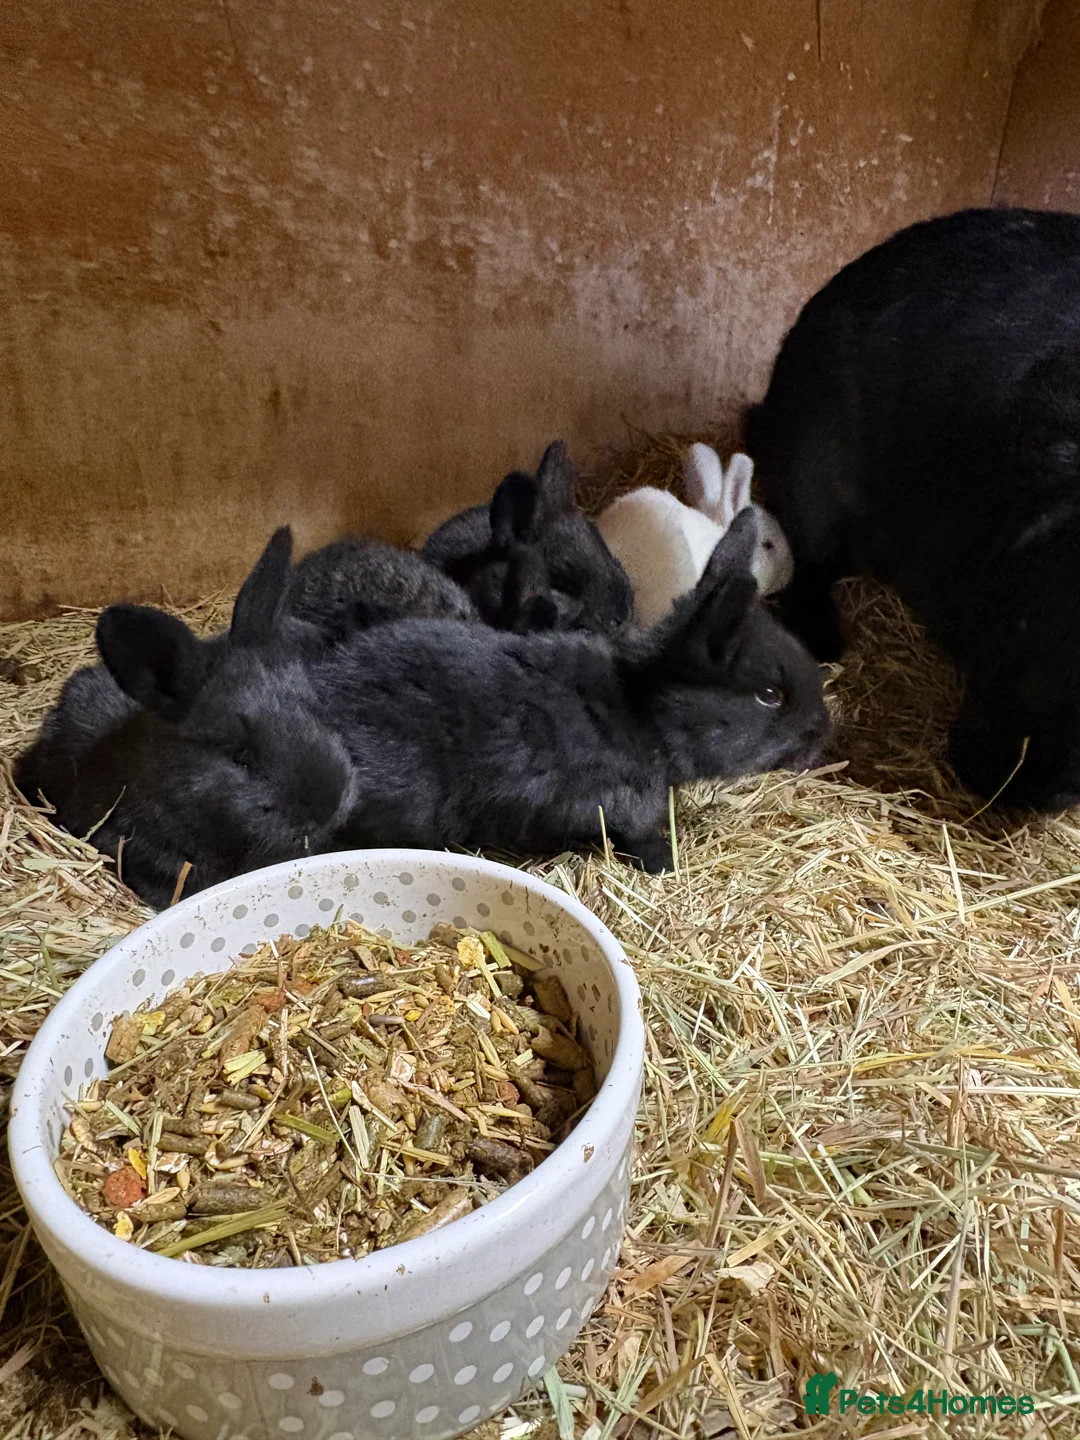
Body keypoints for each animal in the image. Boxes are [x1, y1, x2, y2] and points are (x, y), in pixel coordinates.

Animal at [316, 510, 830, 872]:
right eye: (770, 694)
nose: (823, 734)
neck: (644, 715)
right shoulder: (622, 807)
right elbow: (638, 837)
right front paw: (666, 863)